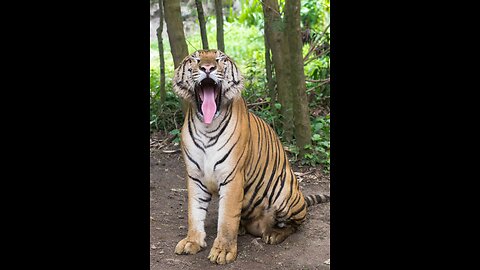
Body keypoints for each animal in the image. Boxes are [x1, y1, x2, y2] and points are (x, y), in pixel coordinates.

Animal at [172, 48, 330, 264]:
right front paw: (192, 241)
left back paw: (274, 234)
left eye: (220, 59)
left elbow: (227, 218)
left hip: (285, 193)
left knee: (296, 224)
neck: (206, 126)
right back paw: (243, 229)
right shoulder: (195, 176)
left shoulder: (232, 177)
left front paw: (223, 251)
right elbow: (194, 212)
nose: (207, 68)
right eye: (195, 60)